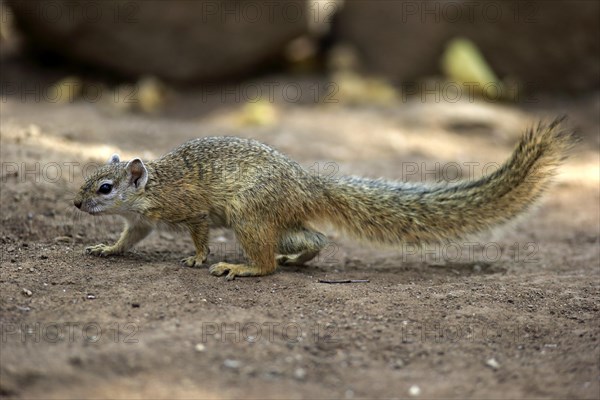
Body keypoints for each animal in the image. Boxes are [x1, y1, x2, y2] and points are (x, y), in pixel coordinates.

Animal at [74, 117, 572, 280]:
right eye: (88, 178)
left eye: (105, 187)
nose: (77, 205)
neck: (149, 189)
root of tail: (306, 185)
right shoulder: (141, 222)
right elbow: (128, 239)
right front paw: (106, 248)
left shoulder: (188, 208)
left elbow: (197, 232)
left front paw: (197, 258)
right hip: (275, 223)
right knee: (315, 240)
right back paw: (296, 259)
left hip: (248, 217)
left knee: (269, 264)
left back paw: (242, 267)